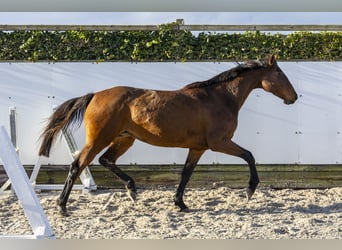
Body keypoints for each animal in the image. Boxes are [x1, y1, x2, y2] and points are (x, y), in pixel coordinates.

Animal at [38, 55, 296, 217]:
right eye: (281, 74)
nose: (294, 97)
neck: (220, 98)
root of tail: (94, 95)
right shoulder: (219, 142)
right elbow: (249, 155)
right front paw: (250, 190)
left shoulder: (198, 148)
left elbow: (186, 174)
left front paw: (180, 203)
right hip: (99, 139)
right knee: (78, 165)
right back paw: (62, 207)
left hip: (124, 138)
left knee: (106, 160)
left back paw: (132, 190)